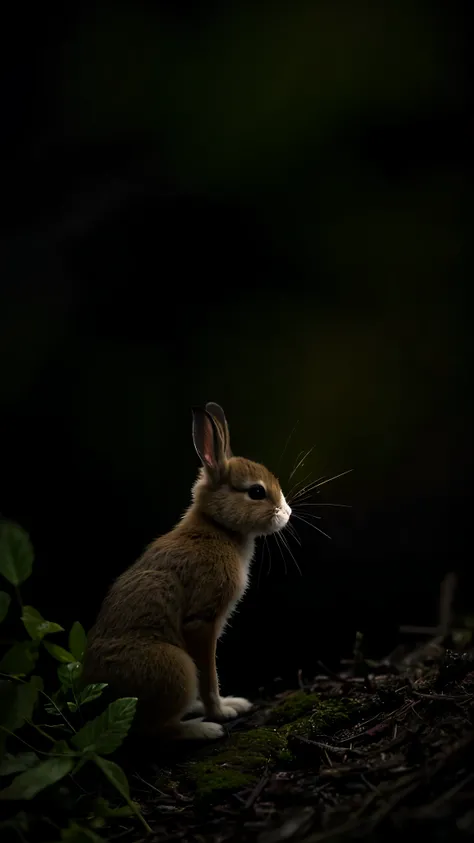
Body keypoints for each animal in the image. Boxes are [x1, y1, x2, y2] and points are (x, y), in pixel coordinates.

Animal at [83, 406, 292, 740]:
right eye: (257, 492)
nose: (287, 514)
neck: (218, 528)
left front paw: (233, 703)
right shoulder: (202, 621)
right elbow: (209, 676)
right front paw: (221, 712)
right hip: (176, 669)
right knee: (153, 729)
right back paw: (203, 729)